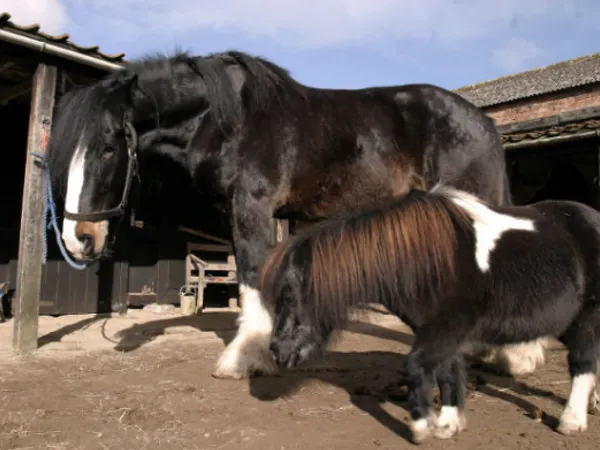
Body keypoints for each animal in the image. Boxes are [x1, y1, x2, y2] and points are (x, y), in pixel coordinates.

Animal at [46, 49, 544, 380]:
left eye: (108, 148)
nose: (77, 239)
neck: (226, 119)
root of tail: (482, 121)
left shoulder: (252, 207)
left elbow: (252, 273)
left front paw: (244, 358)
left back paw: (519, 356)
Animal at [262, 184, 600, 444]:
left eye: (289, 295)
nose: (277, 351)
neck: (426, 260)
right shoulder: (440, 333)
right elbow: (446, 371)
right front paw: (448, 425)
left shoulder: (446, 329)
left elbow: (415, 366)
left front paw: (422, 425)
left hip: (585, 319)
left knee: (582, 362)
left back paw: (572, 420)